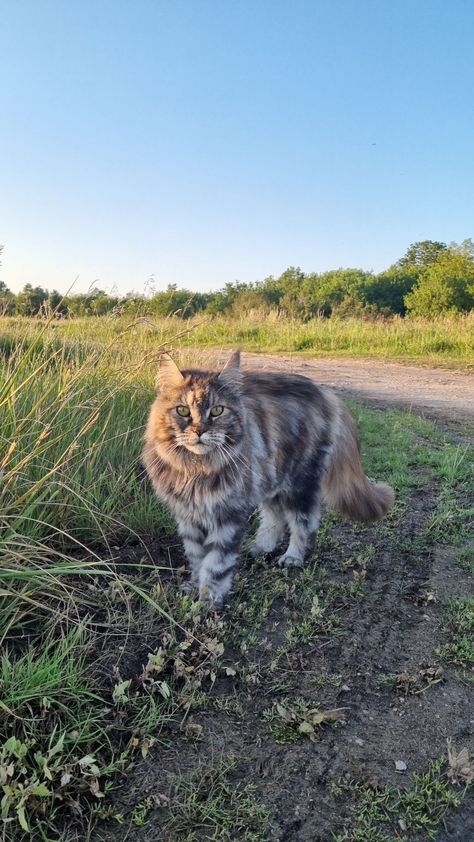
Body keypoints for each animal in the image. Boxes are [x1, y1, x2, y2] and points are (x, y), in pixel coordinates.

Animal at [143, 352, 394, 608]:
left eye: (217, 411)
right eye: (183, 411)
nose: (199, 431)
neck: (195, 469)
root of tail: (325, 393)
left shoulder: (228, 515)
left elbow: (216, 564)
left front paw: (208, 600)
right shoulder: (188, 515)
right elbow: (196, 557)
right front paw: (194, 586)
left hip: (299, 484)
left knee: (305, 522)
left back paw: (293, 556)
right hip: (271, 480)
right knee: (276, 517)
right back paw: (261, 548)